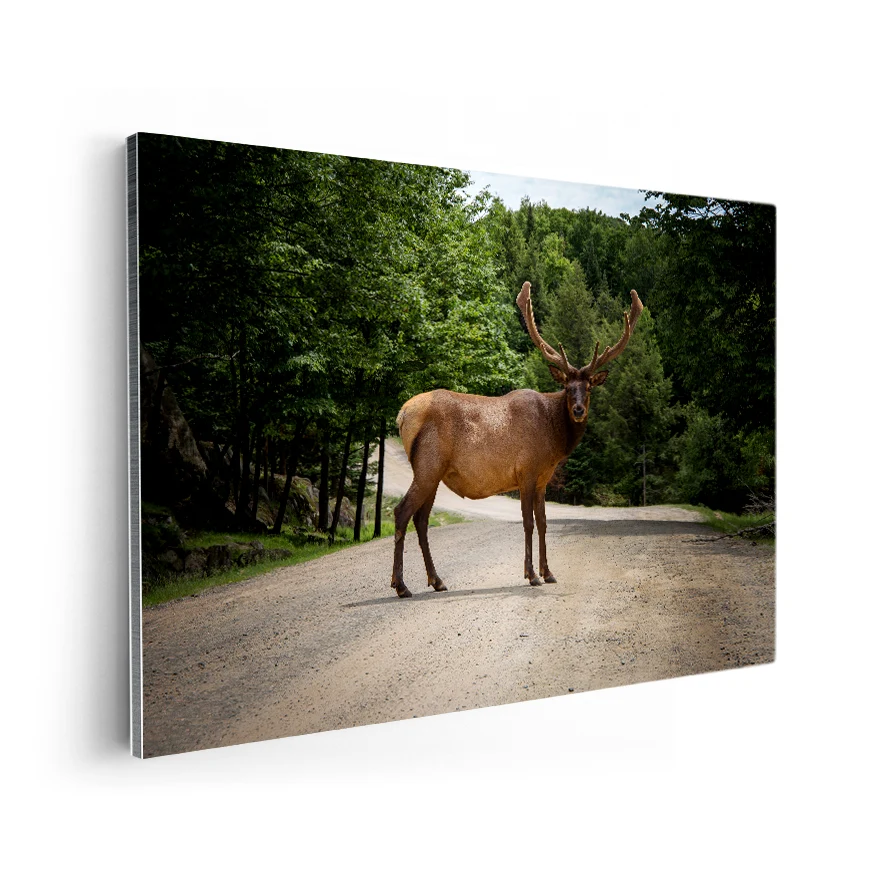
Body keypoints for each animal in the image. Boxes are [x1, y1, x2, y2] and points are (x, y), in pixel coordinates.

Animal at [391, 280, 643, 598]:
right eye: (567, 386)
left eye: (588, 388)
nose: (578, 410)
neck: (553, 440)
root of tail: (402, 415)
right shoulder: (526, 470)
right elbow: (527, 522)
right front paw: (531, 574)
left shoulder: (543, 478)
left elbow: (544, 522)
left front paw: (549, 572)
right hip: (427, 465)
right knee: (402, 512)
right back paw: (401, 585)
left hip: (433, 472)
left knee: (421, 519)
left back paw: (437, 581)